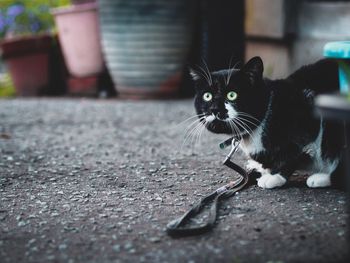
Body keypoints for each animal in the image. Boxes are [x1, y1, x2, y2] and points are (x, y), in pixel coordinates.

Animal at [190, 57, 344, 190]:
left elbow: (292, 151)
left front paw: (274, 176)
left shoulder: (306, 117)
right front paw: (261, 168)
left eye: (232, 95)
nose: (214, 109)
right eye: (207, 96)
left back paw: (321, 177)